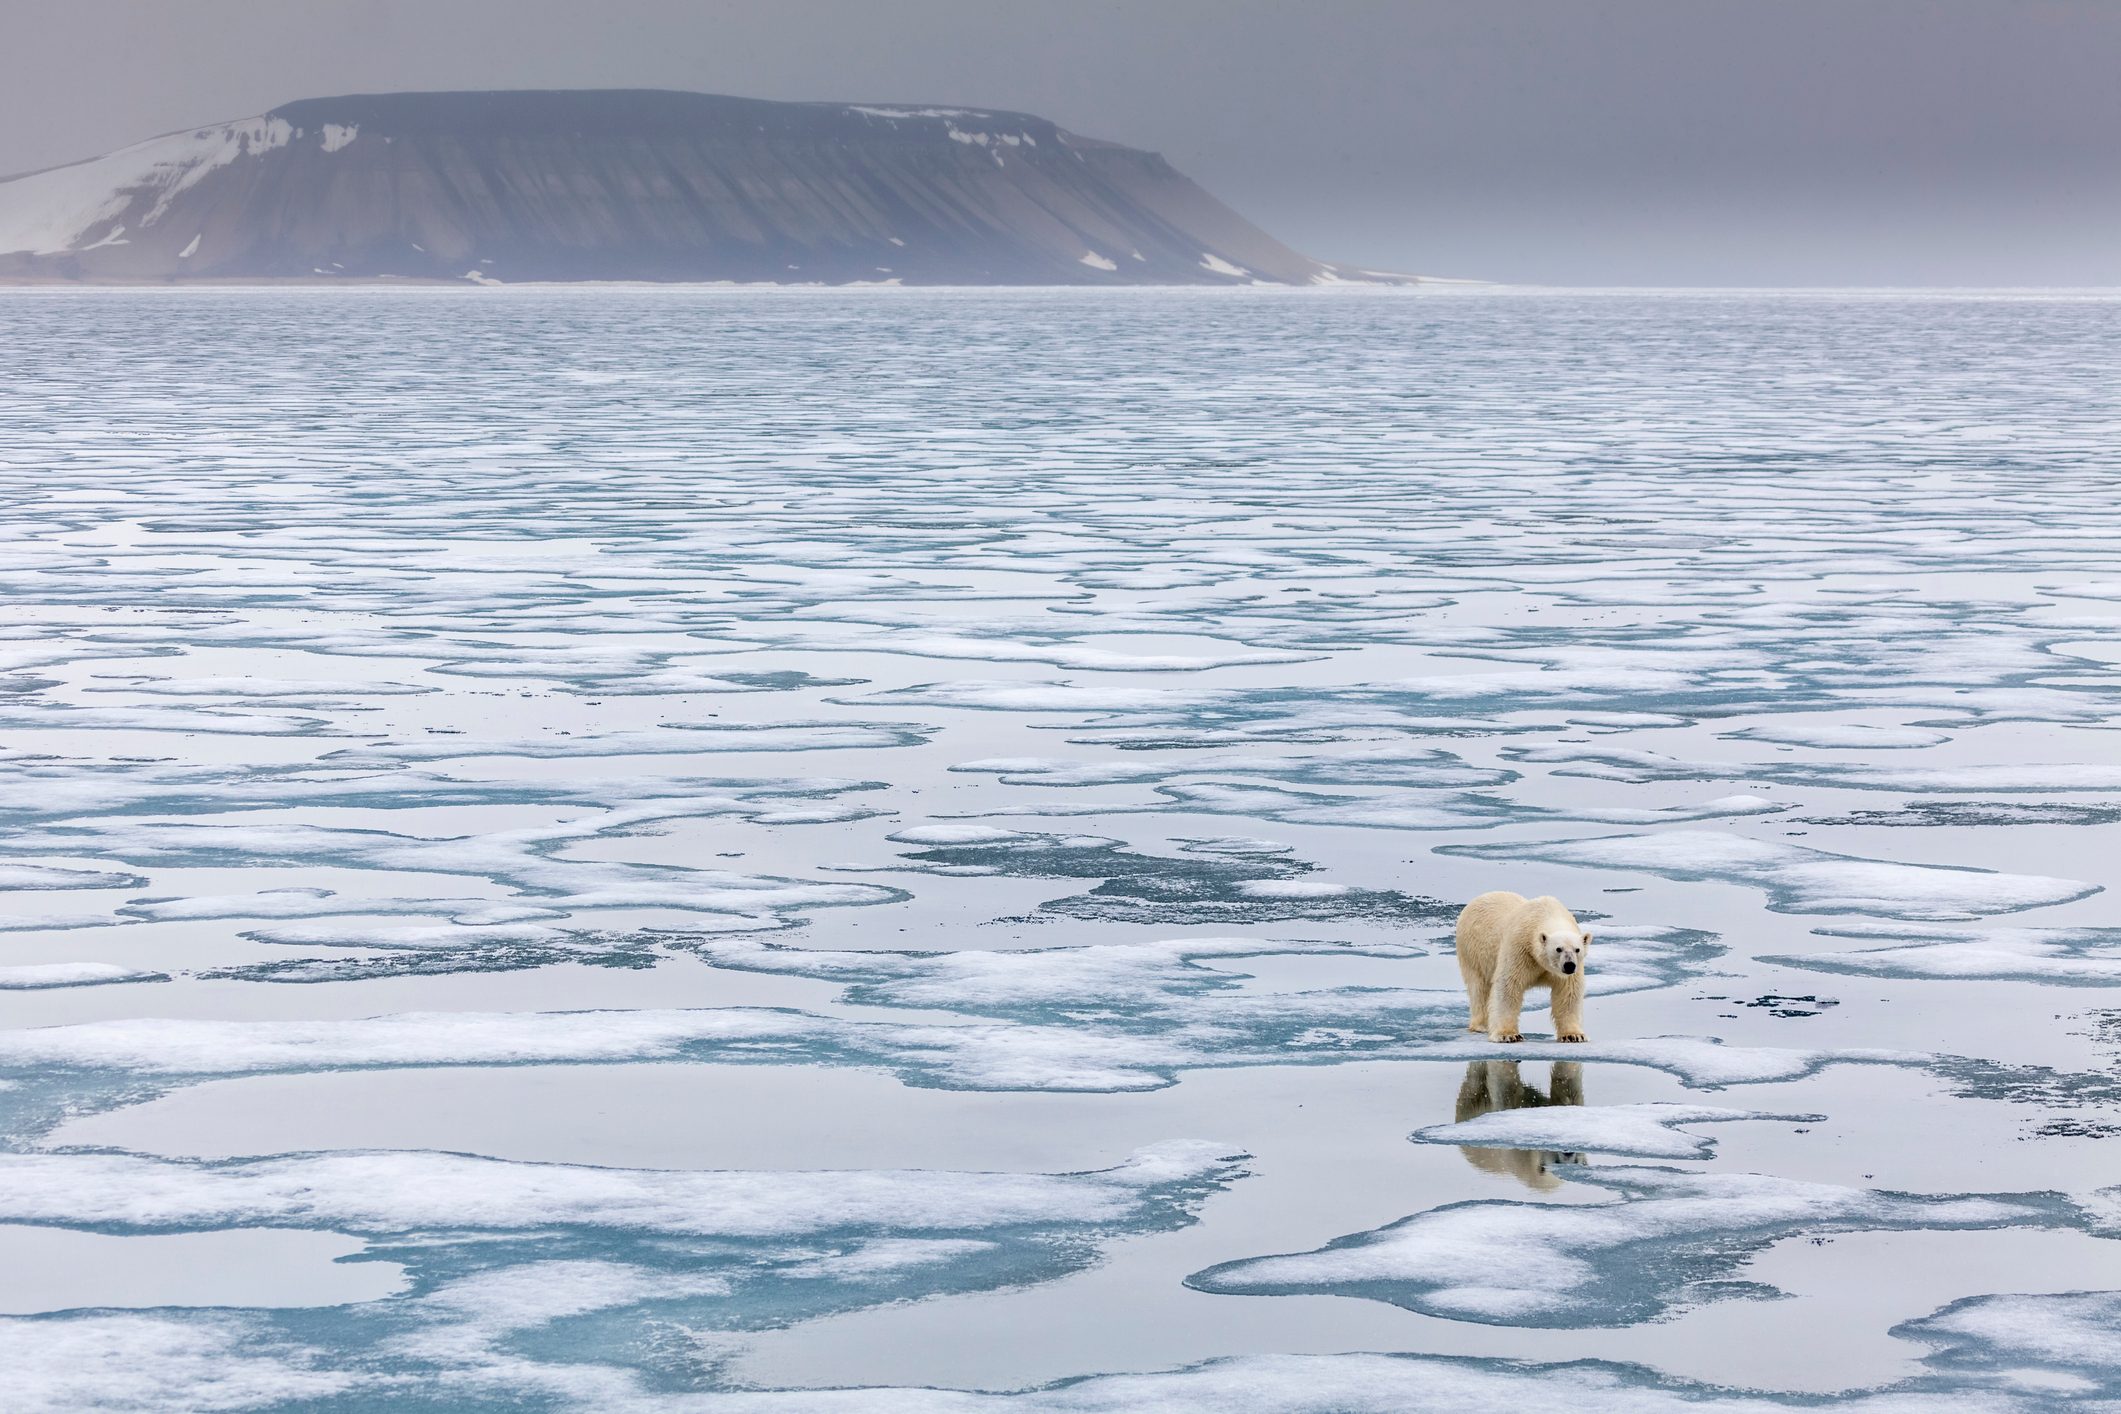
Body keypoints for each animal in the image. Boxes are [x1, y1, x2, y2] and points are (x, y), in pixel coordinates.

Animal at [1454, 891, 1591, 1043]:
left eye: (1577, 949)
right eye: (1558, 949)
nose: (1569, 965)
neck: (1546, 914)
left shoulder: (1567, 972)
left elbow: (1568, 992)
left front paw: (1573, 1035)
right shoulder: (1520, 949)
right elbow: (1508, 986)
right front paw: (1508, 1035)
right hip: (1473, 950)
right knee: (1478, 987)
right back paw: (1481, 1025)